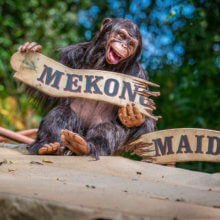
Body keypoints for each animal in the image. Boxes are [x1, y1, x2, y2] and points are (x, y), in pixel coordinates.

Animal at [17, 17, 155, 156]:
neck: (106, 65)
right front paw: (31, 52)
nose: (124, 45)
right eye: (121, 36)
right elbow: (51, 93)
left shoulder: (139, 75)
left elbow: (146, 124)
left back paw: (84, 147)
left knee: (109, 128)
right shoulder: (71, 54)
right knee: (61, 112)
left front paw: (134, 117)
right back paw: (49, 145)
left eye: (131, 44)